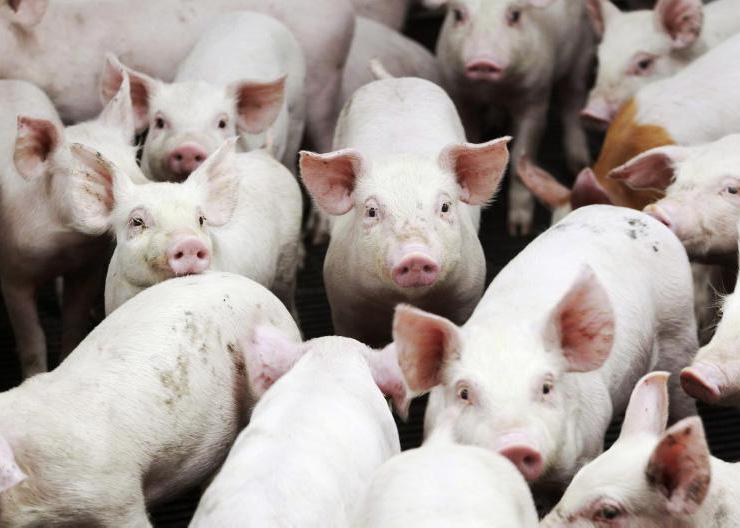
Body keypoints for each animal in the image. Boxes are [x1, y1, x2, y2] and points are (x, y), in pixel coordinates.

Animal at [0, 77, 144, 378]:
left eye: (134, 158)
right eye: (85, 175)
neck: (65, 244)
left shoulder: (87, 267)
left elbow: (74, 324)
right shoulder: (12, 274)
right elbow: (32, 340)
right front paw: (35, 374)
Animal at [299, 77, 510, 347]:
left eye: (445, 206)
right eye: (371, 211)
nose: (415, 256)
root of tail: (394, 80)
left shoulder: (468, 294)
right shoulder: (343, 305)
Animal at [391, 205, 698, 496]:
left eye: (546, 388)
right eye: (464, 393)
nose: (515, 445)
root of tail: (634, 215)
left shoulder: (587, 444)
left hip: (679, 328)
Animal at [431, 0, 595, 235]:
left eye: (515, 15)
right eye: (458, 14)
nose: (483, 61)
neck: (493, 88)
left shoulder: (535, 98)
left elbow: (520, 155)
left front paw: (518, 230)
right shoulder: (460, 94)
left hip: (581, 54)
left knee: (572, 101)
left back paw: (579, 164)